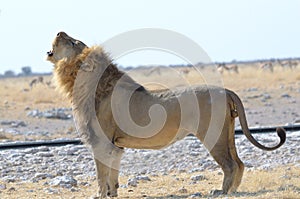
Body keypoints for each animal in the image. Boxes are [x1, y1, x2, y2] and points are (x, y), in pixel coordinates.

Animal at [46, 31, 286, 198]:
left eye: (73, 42)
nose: (59, 31)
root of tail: (225, 90)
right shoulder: (115, 146)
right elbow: (112, 174)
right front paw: (112, 194)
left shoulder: (101, 142)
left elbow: (100, 174)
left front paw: (98, 196)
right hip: (226, 133)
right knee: (239, 163)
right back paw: (233, 190)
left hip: (212, 135)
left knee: (230, 164)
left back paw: (221, 192)